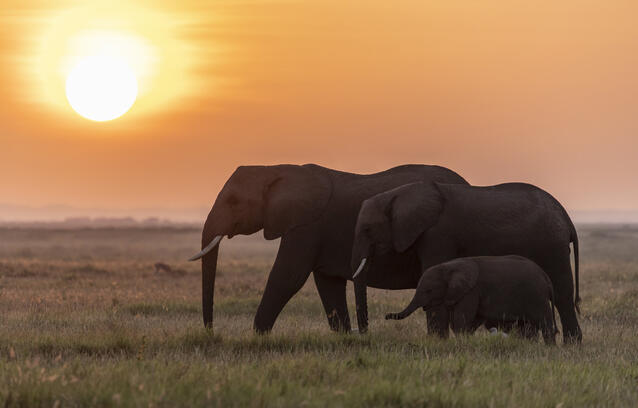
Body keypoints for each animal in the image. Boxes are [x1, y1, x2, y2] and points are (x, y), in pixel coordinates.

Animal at [188, 164, 468, 334]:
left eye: (233, 201)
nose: (211, 331)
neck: (276, 169)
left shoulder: (306, 226)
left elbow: (287, 277)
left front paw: (257, 336)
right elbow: (328, 284)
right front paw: (344, 336)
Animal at [384, 255, 560, 344]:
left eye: (429, 290)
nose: (386, 316)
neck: (449, 266)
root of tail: (546, 277)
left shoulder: (471, 291)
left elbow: (460, 319)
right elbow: (473, 320)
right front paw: (466, 340)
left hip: (537, 296)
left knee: (544, 323)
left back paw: (549, 348)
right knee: (527, 326)